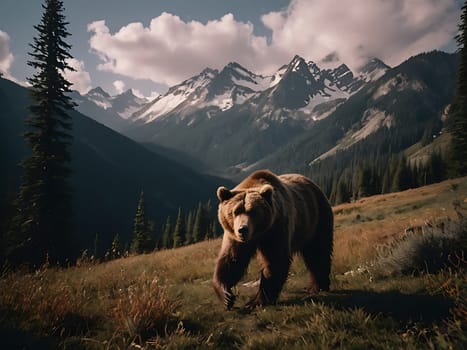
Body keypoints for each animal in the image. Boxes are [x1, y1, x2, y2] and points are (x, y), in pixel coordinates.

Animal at [214, 170, 334, 308]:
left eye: (253, 211)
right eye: (234, 212)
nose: (242, 229)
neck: (258, 234)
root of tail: (313, 184)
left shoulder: (275, 227)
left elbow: (275, 259)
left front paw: (256, 301)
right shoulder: (235, 237)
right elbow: (232, 259)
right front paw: (226, 296)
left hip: (316, 218)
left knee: (318, 251)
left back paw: (319, 286)